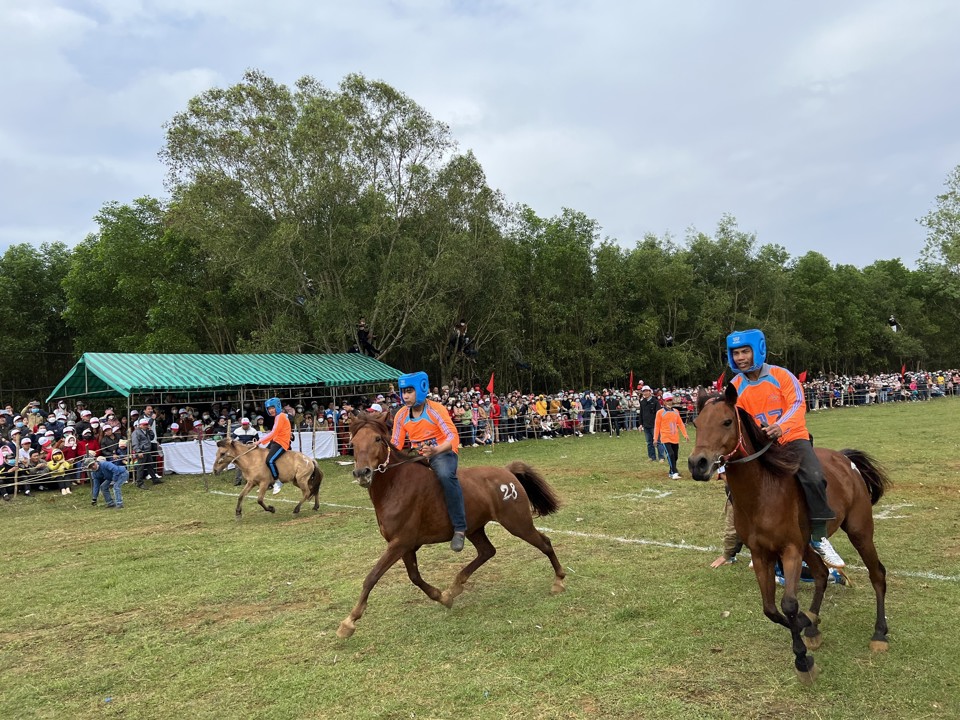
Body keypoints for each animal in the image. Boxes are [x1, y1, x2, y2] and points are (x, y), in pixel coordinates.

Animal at [338, 414, 568, 640]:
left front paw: (349, 622)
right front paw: (443, 597)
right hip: (475, 529)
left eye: (377, 439)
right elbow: (415, 577)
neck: (396, 485)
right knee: (487, 551)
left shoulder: (399, 544)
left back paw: (558, 580)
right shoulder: (405, 546)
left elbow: (372, 577)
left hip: (517, 523)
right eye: (352, 443)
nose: (362, 472)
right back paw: (455, 586)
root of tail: (507, 473)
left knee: (545, 543)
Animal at [688, 386, 888, 684]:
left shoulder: (790, 549)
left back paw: (879, 633)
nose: (697, 464)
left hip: (859, 531)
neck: (763, 491)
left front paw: (803, 660)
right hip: (809, 544)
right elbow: (770, 609)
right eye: (696, 424)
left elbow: (790, 604)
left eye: (726, 421)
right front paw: (806, 625)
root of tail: (845, 460)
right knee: (821, 574)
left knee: (877, 574)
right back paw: (813, 625)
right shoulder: (762, 554)